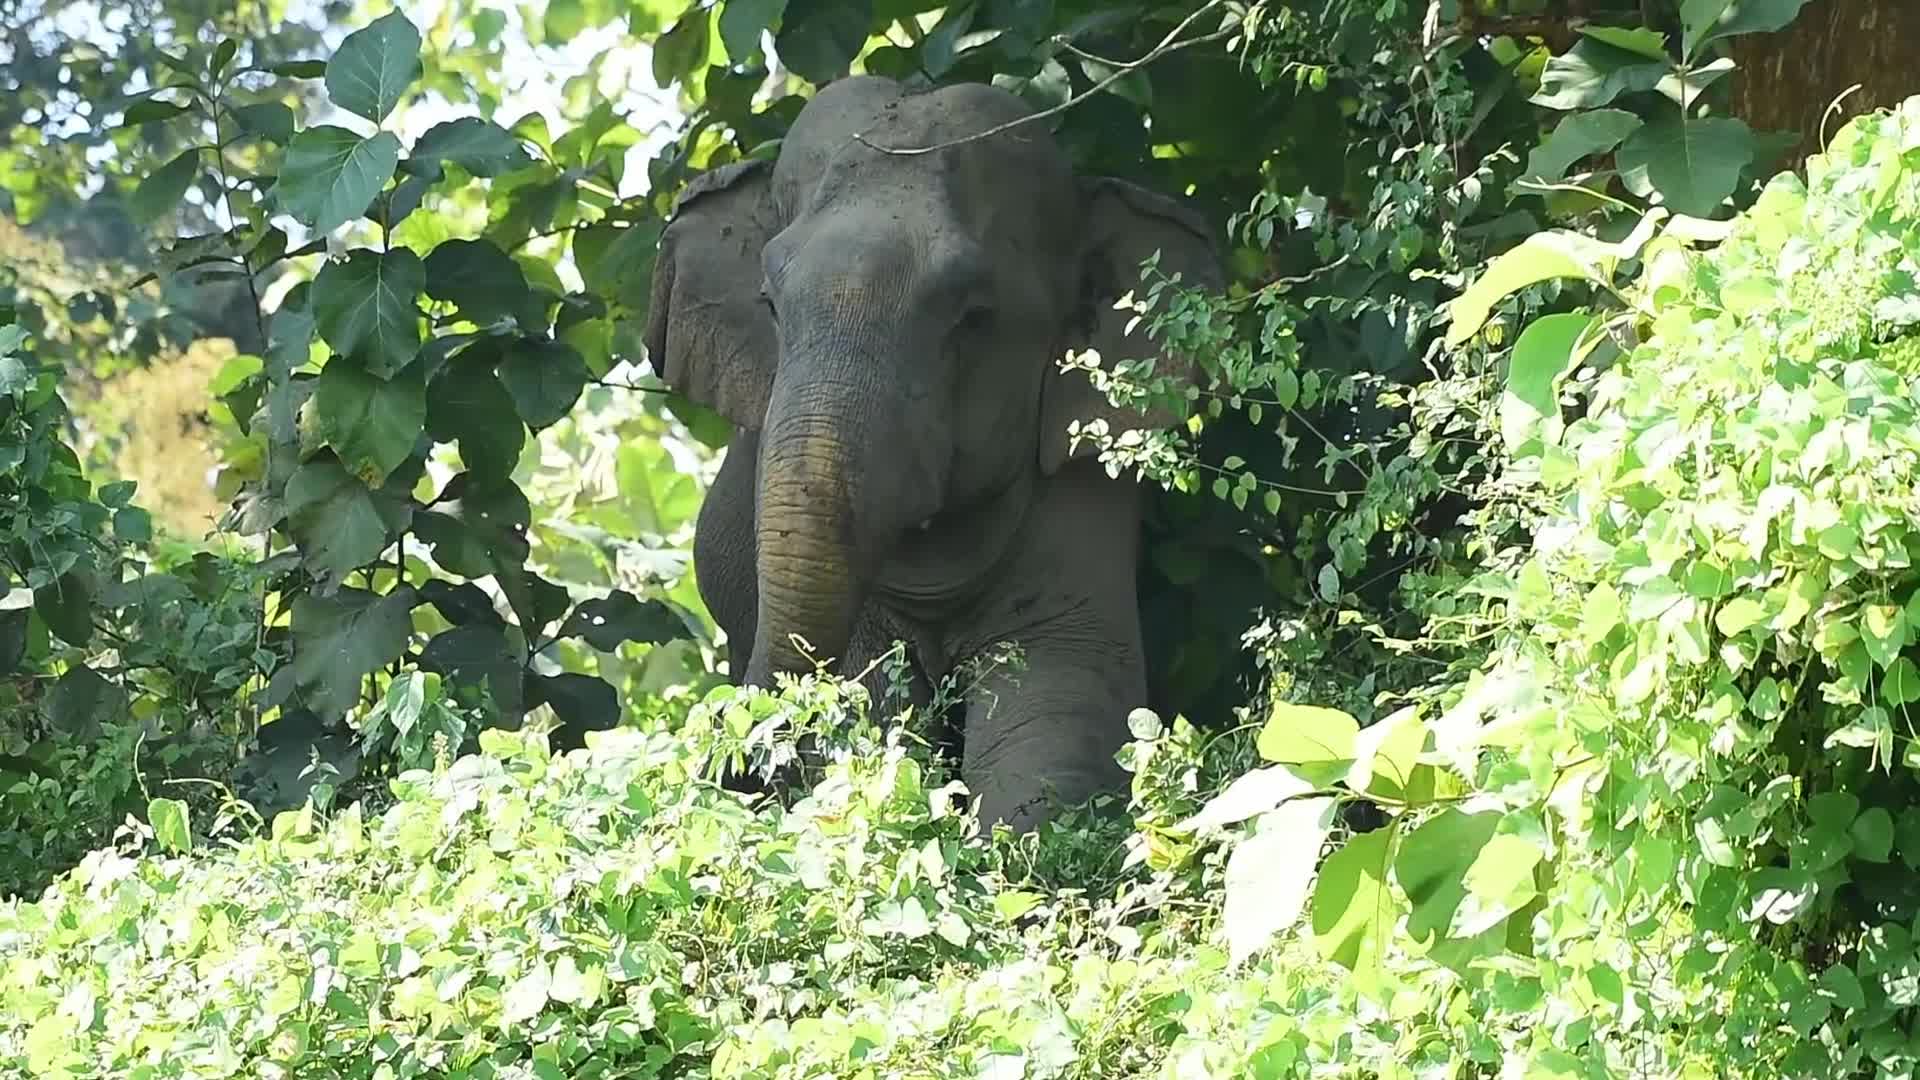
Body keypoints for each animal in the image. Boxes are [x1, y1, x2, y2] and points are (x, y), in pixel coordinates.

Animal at [641, 74, 1223, 831]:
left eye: (973, 318)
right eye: (769, 302)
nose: (738, 765)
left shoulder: (1079, 491)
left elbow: (1054, 715)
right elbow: (873, 701)